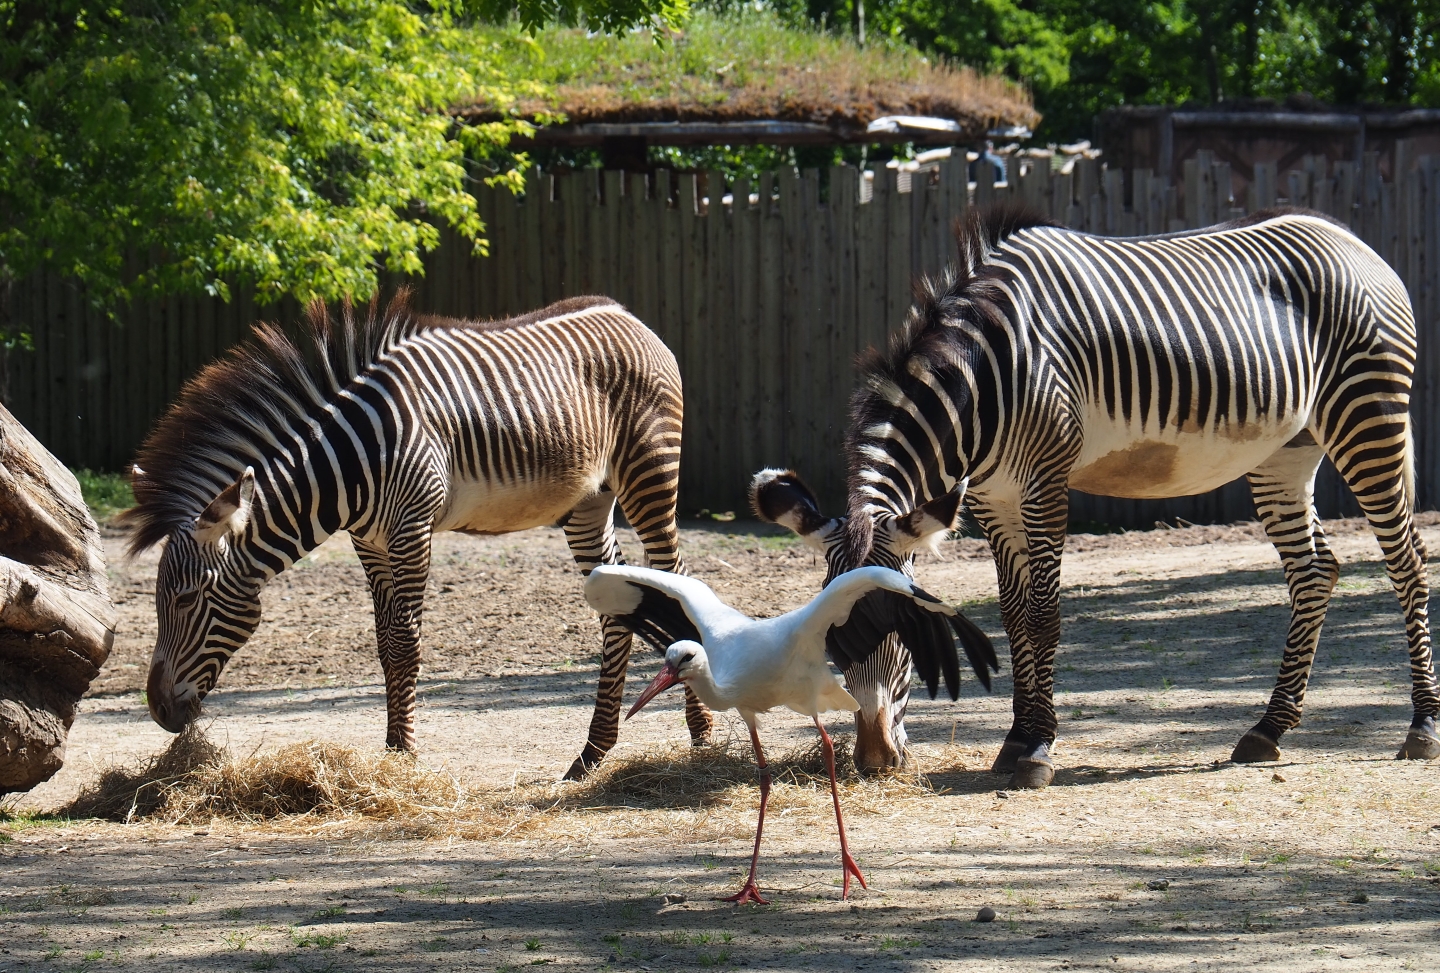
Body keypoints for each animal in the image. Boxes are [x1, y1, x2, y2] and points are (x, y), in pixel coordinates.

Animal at [119, 291, 713, 780]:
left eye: (187, 598)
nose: (159, 710)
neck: (345, 467)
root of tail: (628, 316)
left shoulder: (411, 528)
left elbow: (405, 644)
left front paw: (403, 756)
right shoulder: (369, 541)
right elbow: (385, 645)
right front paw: (389, 748)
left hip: (649, 473)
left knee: (674, 573)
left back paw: (701, 736)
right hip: (589, 501)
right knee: (616, 608)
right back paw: (591, 753)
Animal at [755, 204, 1439, 789]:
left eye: (907, 635)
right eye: (830, 638)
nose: (873, 760)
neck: (985, 374)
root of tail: (1349, 238)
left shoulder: (1045, 482)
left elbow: (1043, 615)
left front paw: (1037, 751)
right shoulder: (993, 499)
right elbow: (1013, 616)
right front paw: (1014, 740)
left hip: (1367, 416)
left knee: (1406, 561)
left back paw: (1421, 725)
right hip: (1286, 450)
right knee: (1316, 571)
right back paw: (1267, 729)